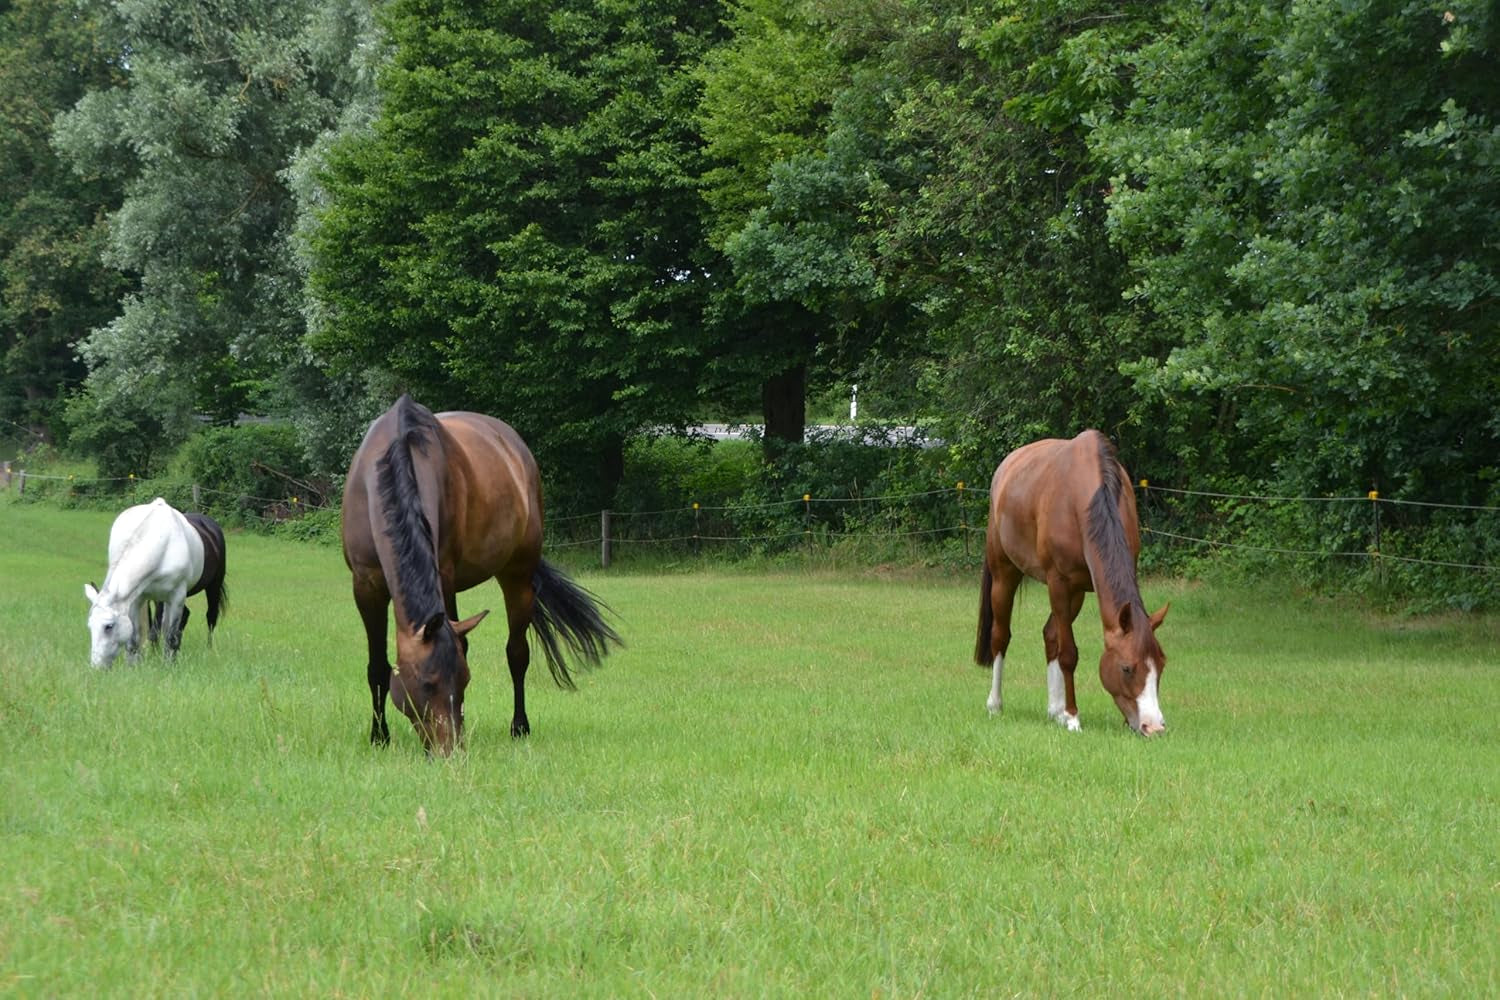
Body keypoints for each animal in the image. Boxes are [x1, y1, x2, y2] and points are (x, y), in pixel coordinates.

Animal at [84, 498, 208, 668]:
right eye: (90, 626)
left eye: (108, 626)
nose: (97, 667)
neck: (163, 544)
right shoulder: (137, 598)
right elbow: (134, 639)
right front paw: (133, 667)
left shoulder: (178, 597)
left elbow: (171, 636)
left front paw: (168, 666)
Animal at [342, 394, 621, 756]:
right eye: (427, 683)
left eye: (465, 679)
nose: (449, 751)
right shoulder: (367, 585)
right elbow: (377, 666)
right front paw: (379, 737)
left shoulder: (444, 576)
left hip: (517, 575)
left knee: (517, 653)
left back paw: (519, 726)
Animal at [975, 430, 1170, 735]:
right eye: (1127, 668)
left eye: (1161, 665)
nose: (1154, 726)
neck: (1084, 498)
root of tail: (1005, 467)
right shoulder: (1059, 582)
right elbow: (1068, 653)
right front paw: (1074, 717)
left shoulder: (1079, 587)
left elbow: (1057, 641)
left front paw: (1064, 713)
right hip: (1005, 573)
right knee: (1001, 636)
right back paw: (995, 705)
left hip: (1074, 593)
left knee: (1050, 635)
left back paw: (1055, 710)